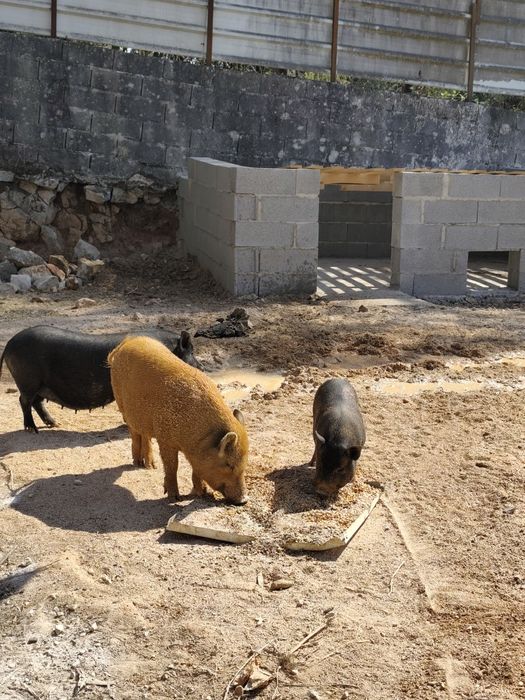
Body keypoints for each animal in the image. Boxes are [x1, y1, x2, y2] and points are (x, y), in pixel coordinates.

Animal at [0, 325, 202, 433]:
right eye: (191, 354)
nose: (201, 368)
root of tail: (9, 344)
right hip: (27, 380)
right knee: (24, 401)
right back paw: (32, 429)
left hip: (41, 385)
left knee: (37, 402)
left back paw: (55, 424)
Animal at [108, 335, 249, 504]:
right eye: (228, 464)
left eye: (245, 462)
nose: (244, 500)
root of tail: (126, 342)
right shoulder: (165, 438)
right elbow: (172, 466)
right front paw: (175, 498)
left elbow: (196, 470)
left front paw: (203, 494)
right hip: (122, 404)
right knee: (134, 432)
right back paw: (137, 463)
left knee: (145, 435)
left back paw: (150, 466)